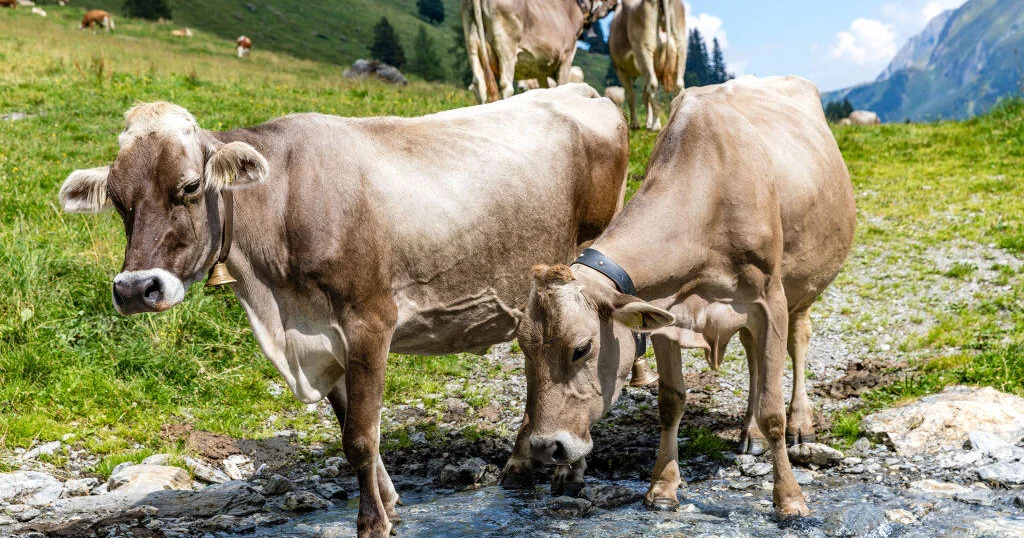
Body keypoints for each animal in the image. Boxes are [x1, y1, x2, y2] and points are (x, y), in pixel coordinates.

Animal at [58, 84, 629, 538]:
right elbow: (355, 430)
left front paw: (372, 522)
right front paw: (391, 504)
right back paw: (520, 461)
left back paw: (568, 469)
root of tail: (581, 90)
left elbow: (359, 437)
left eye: (190, 187)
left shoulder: (369, 321)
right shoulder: (322, 337)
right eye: (117, 199)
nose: (136, 288)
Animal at [462, 0, 618, 103]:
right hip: (506, 47)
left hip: (472, 44)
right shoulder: (566, 57)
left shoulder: (540, 69)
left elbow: (544, 89)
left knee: (479, 84)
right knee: (506, 85)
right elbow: (562, 86)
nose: (616, 4)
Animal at [505, 76, 856, 518]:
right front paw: (663, 486)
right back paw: (750, 432)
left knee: (798, 340)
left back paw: (801, 423)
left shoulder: (769, 300)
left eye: (581, 348)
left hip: (802, 287)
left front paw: (789, 498)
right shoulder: (665, 312)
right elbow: (670, 402)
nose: (544, 447)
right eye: (524, 348)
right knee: (754, 356)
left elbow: (773, 408)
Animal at [609, 0, 687, 130]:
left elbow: (631, 95)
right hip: (681, 49)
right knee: (678, 86)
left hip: (644, 50)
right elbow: (644, 96)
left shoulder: (620, 69)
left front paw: (635, 124)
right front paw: (647, 122)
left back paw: (656, 125)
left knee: (652, 86)